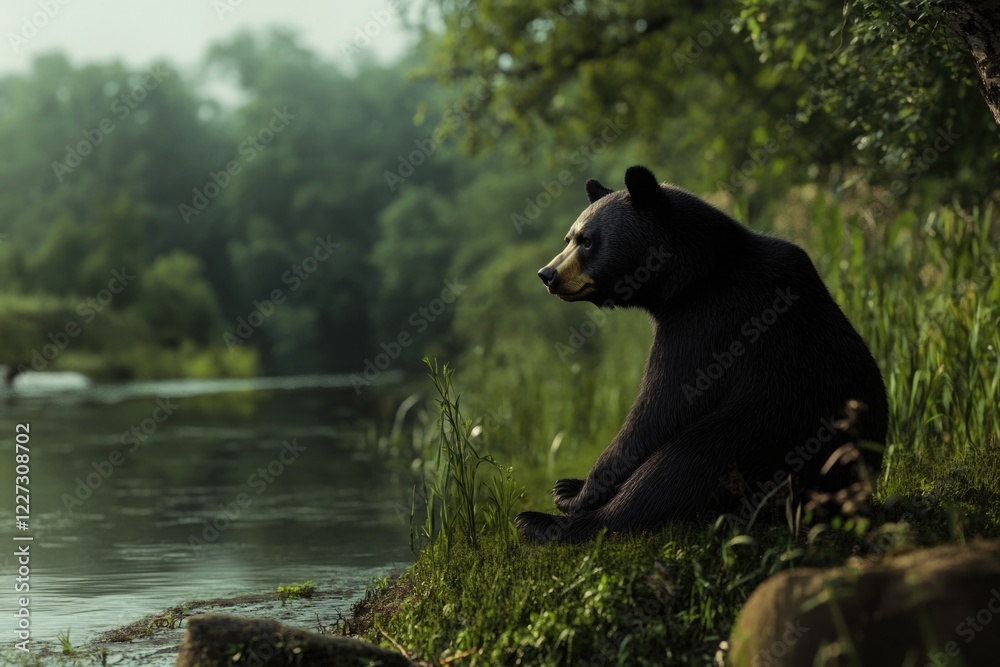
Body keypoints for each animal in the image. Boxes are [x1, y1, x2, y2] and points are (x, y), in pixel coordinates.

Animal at [514, 165, 888, 544]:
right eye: (569, 238)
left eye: (588, 241)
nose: (547, 274)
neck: (695, 273)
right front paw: (569, 484)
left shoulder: (706, 324)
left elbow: (662, 407)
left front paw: (576, 495)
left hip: (761, 440)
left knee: (679, 467)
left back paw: (542, 521)